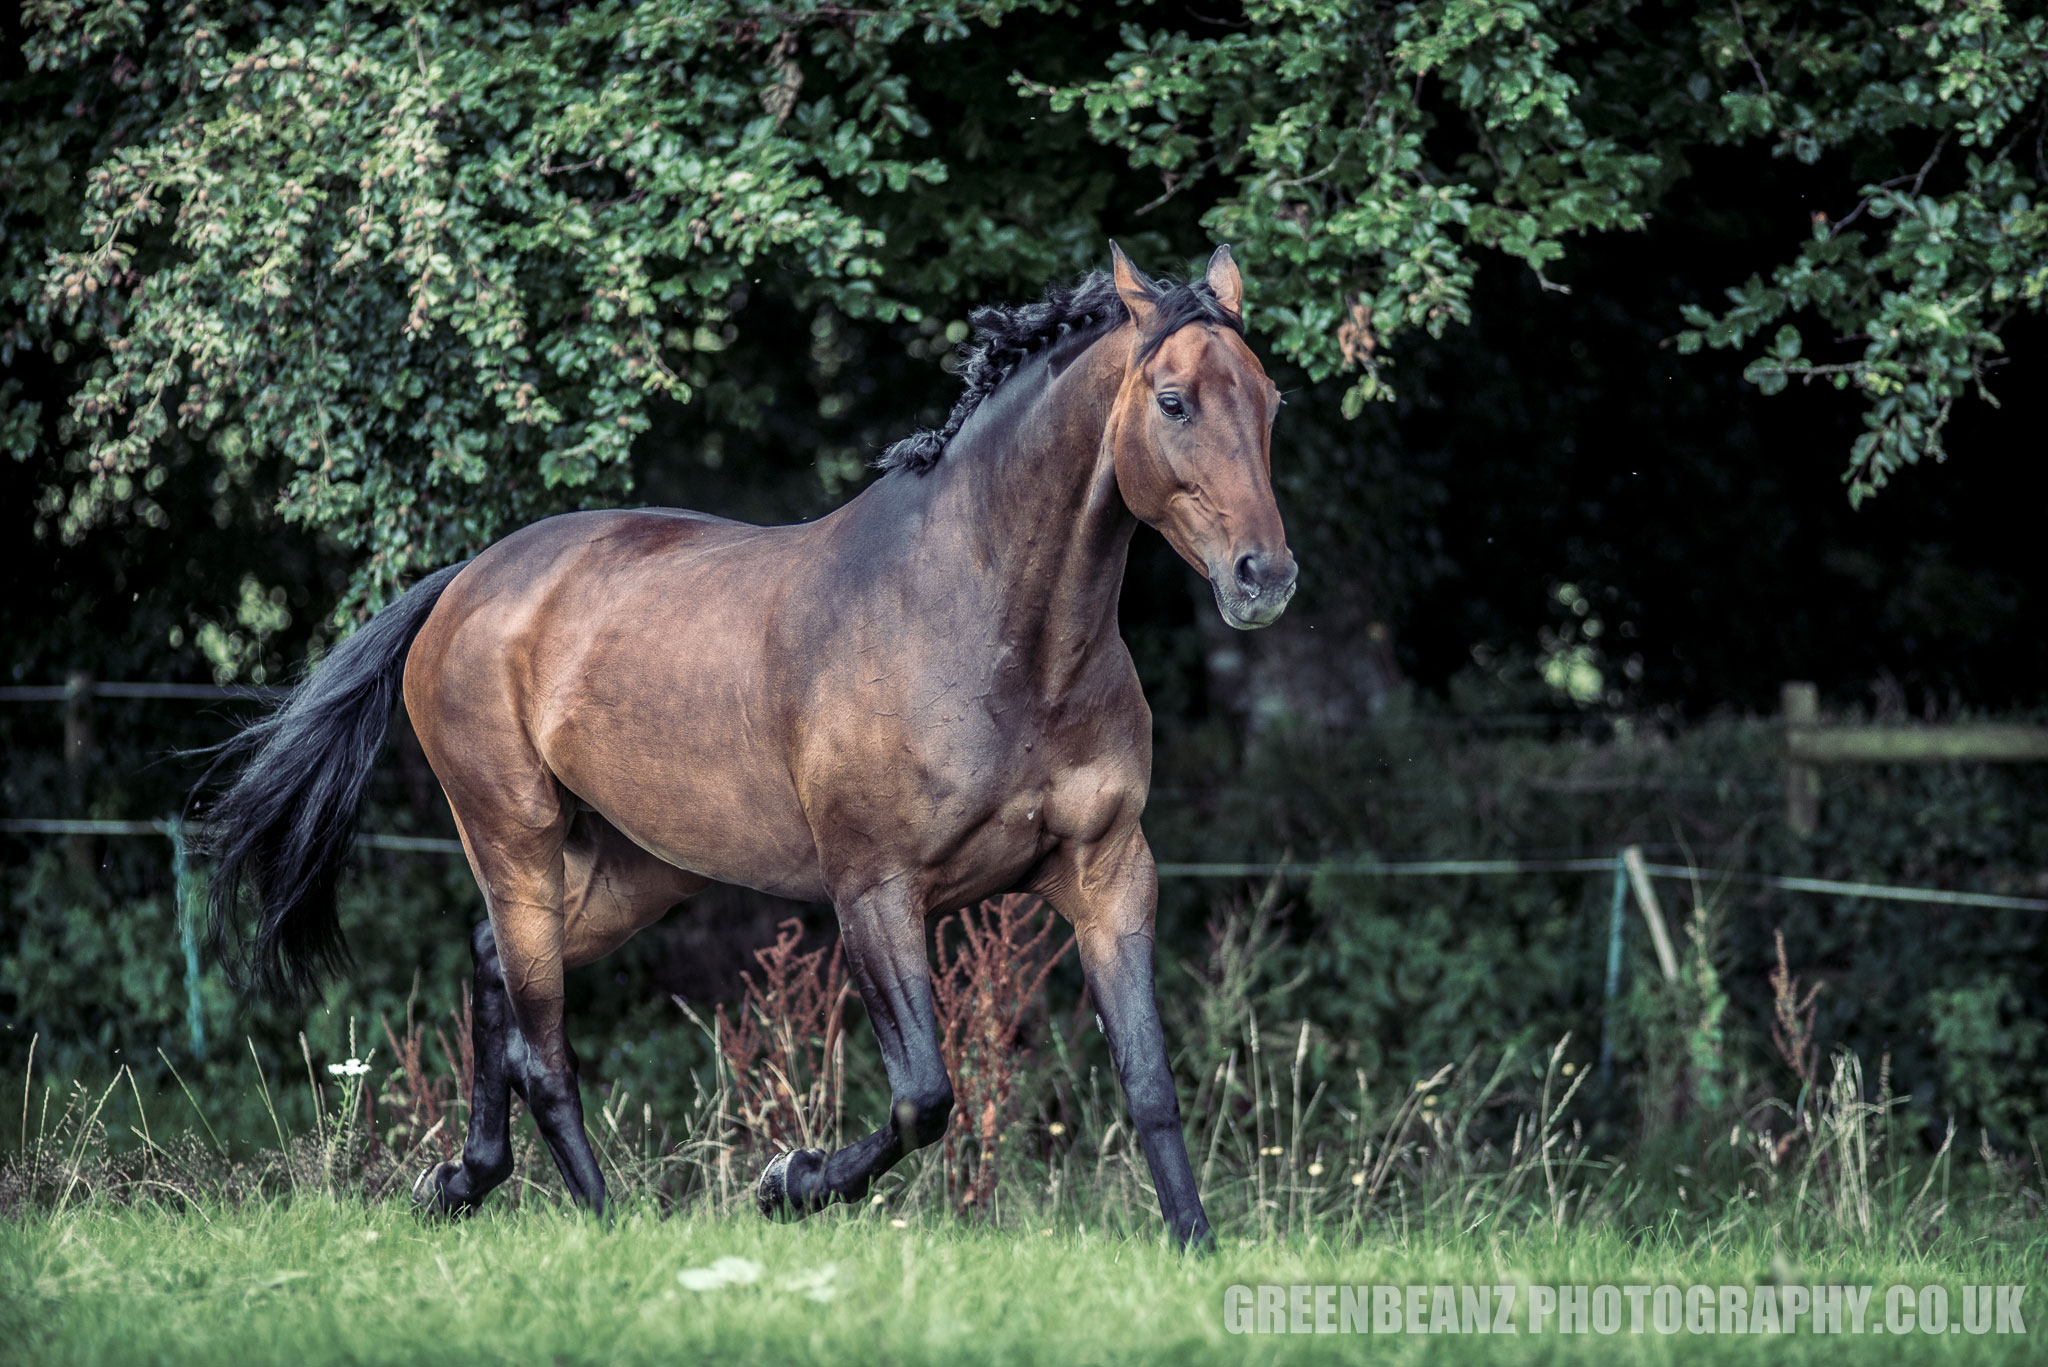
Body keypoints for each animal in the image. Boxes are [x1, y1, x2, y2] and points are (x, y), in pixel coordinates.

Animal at [203, 240, 1294, 1246]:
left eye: (1269, 399)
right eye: (1172, 400)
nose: (1263, 576)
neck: (995, 632)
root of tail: (465, 581)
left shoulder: (1109, 872)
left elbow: (1148, 1081)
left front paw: (1194, 1249)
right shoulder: (876, 891)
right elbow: (923, 1095)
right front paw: (787, 1180)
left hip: (639, 868)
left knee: (489, 968)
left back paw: (460, 1181)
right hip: (512, 835)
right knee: (543, 1045)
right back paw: (604, 1223)